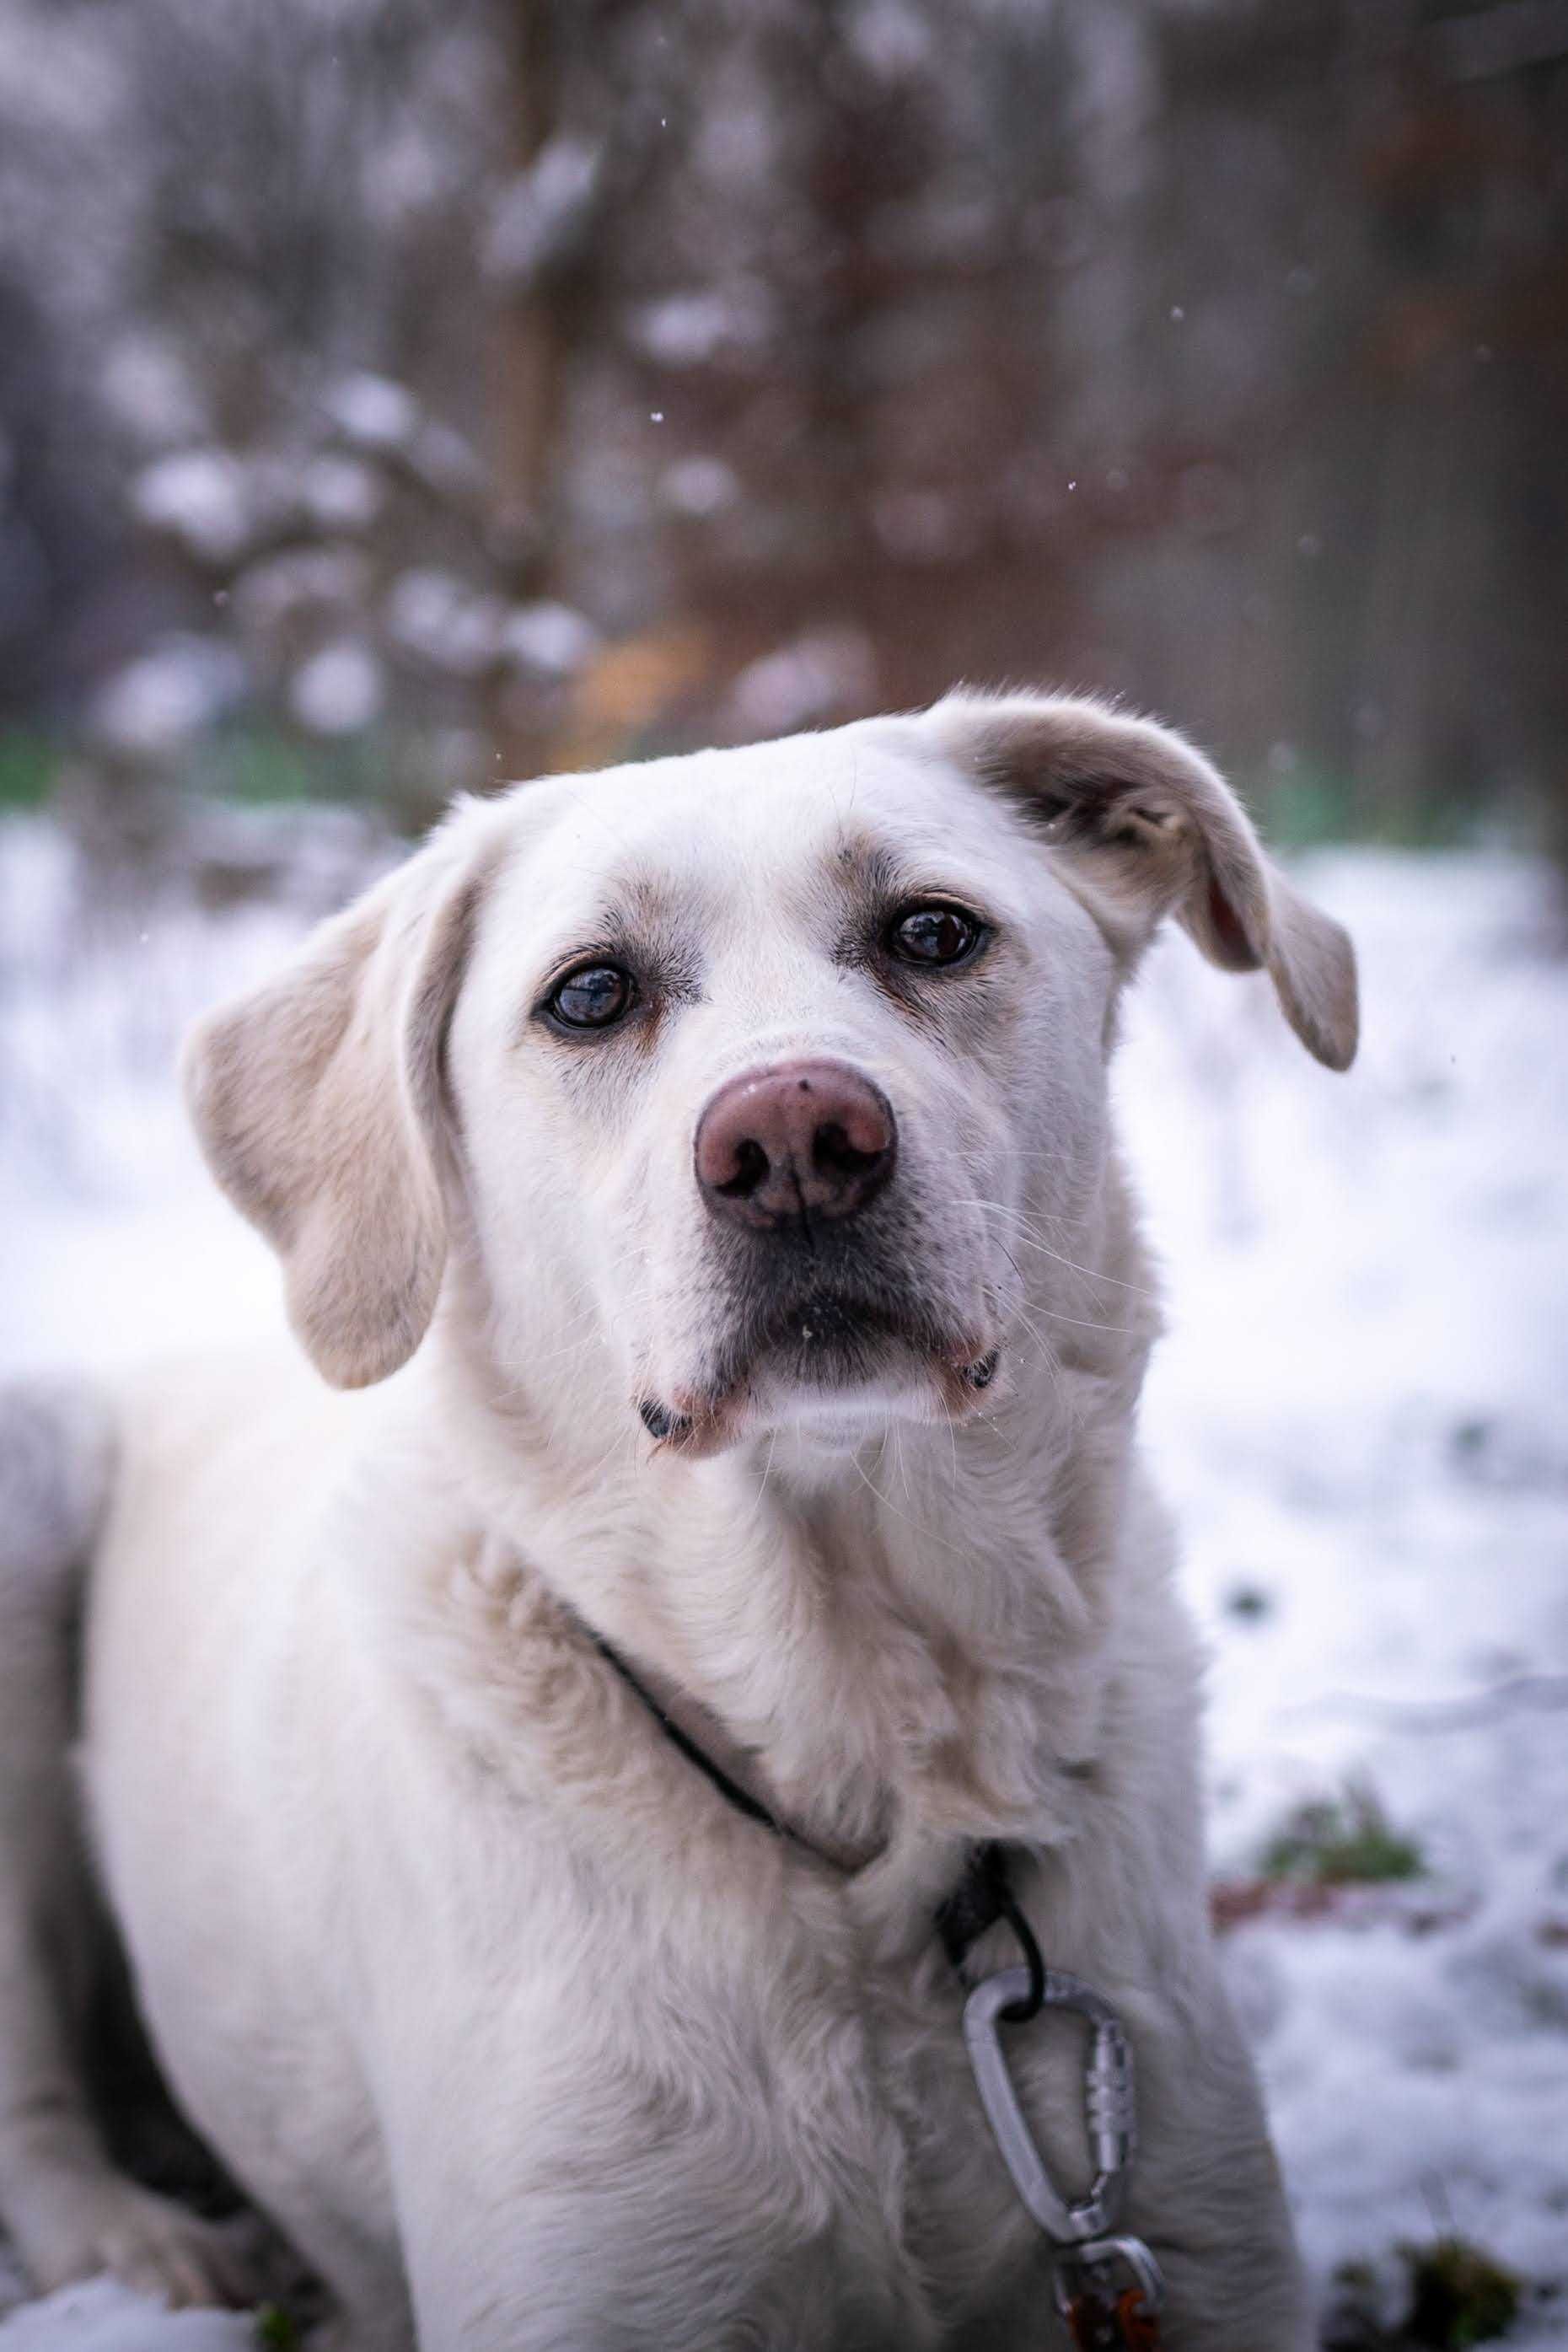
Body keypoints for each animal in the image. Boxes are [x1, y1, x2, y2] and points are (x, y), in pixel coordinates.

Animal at [0, 686, 1363, 2342]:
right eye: (590, 993)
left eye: (932, 932)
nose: (794, 1141)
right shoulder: (587, 2277)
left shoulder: (1186, 2231)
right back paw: (139, 2244)